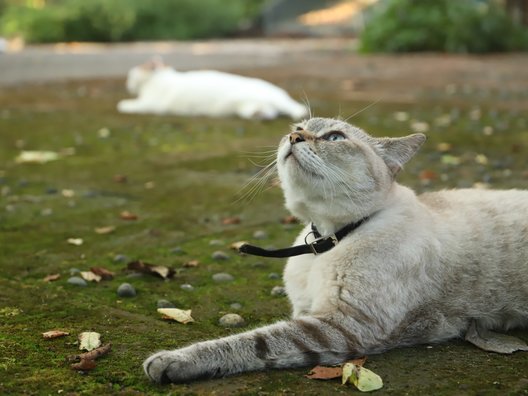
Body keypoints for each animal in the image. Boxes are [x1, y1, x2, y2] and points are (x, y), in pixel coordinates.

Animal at [115, 58, 306, 120]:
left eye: (130, 76)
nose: (126, 84)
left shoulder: (153, 103)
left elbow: (134, 104)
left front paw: (123, 104)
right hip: (250, 107)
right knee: (270, 112)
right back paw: (260, 115)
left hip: (273, 99)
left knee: (293, 108)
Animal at [144, 116, 528, 382]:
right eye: (298, 127)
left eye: (334, 138)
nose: (294, 137)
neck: (326, 241)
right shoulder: (309, 312)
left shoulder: (343, 325)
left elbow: (254, 342)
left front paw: (170, 362)